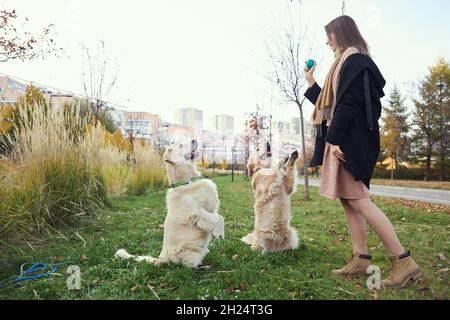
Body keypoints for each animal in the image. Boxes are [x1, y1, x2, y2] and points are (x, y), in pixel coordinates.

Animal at [114, 140, 223, 268]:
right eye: (180, 146)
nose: (194, 140)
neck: (186, 182)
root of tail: (161, 258)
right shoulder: (196, 212)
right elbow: (216, 218)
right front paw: (218, 233)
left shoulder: (210, 209)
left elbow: (219, 217)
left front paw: (219, 232)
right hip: (191, 251)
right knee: (188, 265)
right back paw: (203, 267)